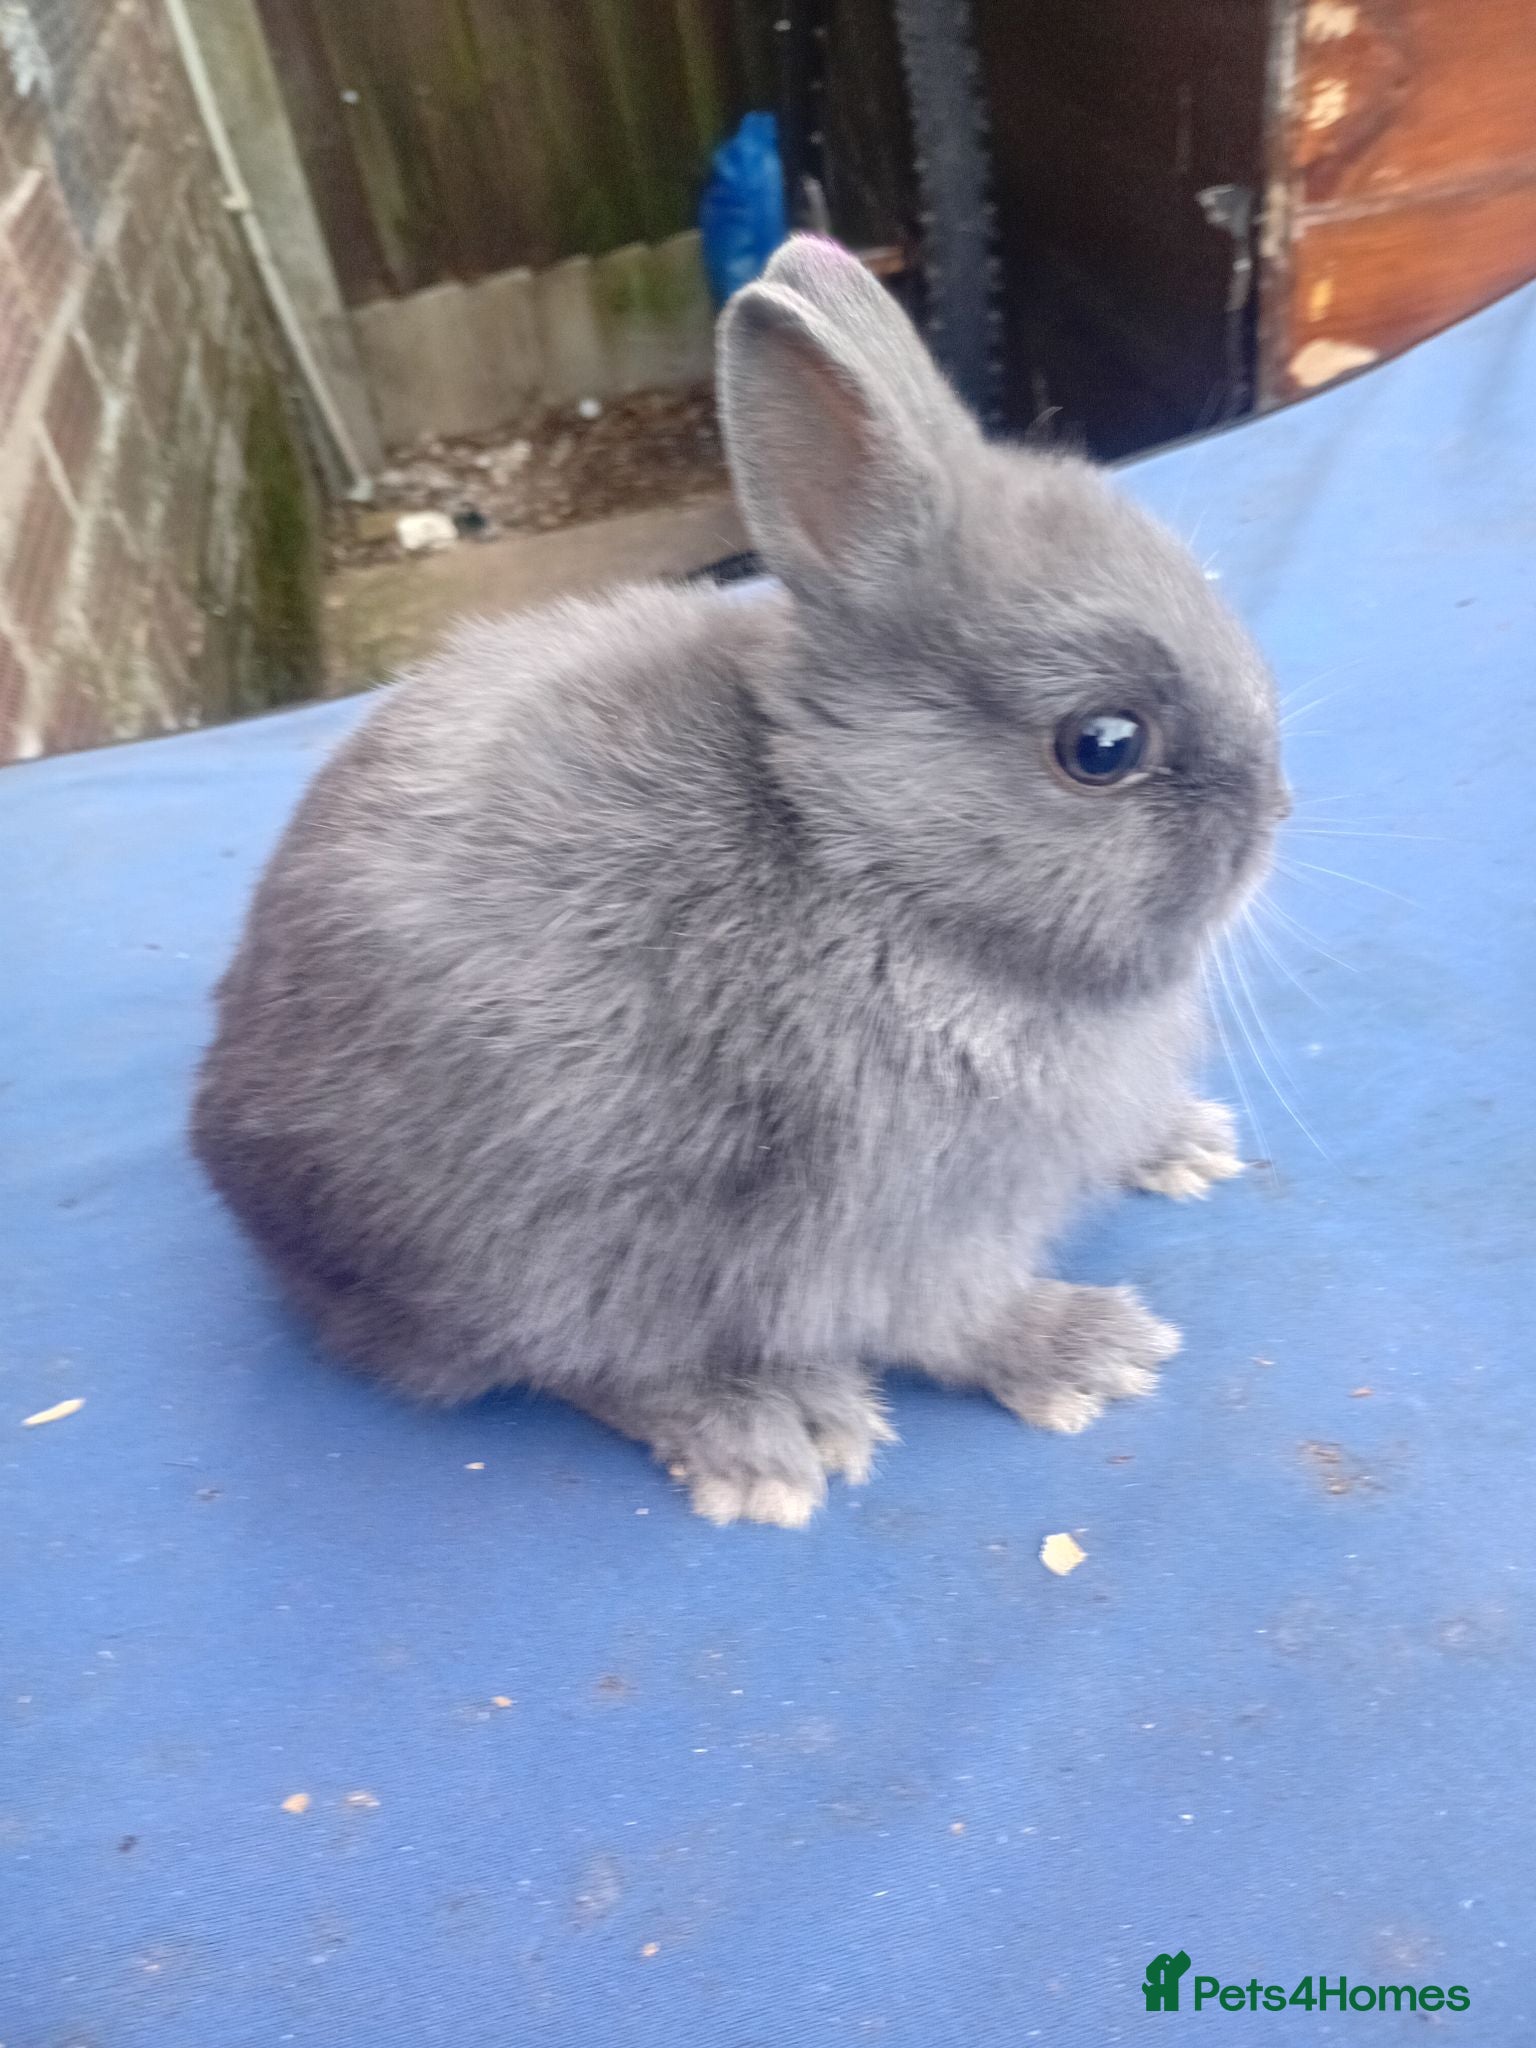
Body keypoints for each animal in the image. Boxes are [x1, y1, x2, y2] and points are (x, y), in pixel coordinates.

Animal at [193, 234, 1284, 1528]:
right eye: (1103, 747)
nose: (1276, 812)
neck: (865, 854)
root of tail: (238, 1173)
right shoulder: (905, 1212)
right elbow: (952, 1314)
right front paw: (1088, 1353)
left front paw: (1183, 1143)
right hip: (534, 1255)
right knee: (575, 1363)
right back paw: (772, 1431)